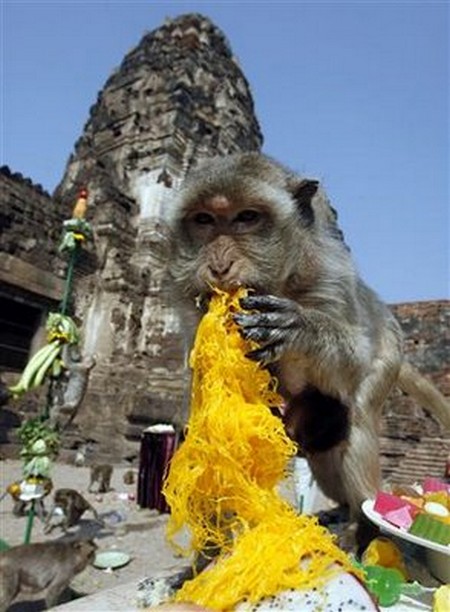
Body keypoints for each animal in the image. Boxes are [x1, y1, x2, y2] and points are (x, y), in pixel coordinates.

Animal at [165, 151, 450, 552]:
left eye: (246, 217)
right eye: (203, 220)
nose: (219, 265)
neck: (280, 282)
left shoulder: (331, 277)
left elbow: (354, 359)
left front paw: (301, 327)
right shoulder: (194, 309)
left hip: (391, 352)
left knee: (357, 418)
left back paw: (364, 524)